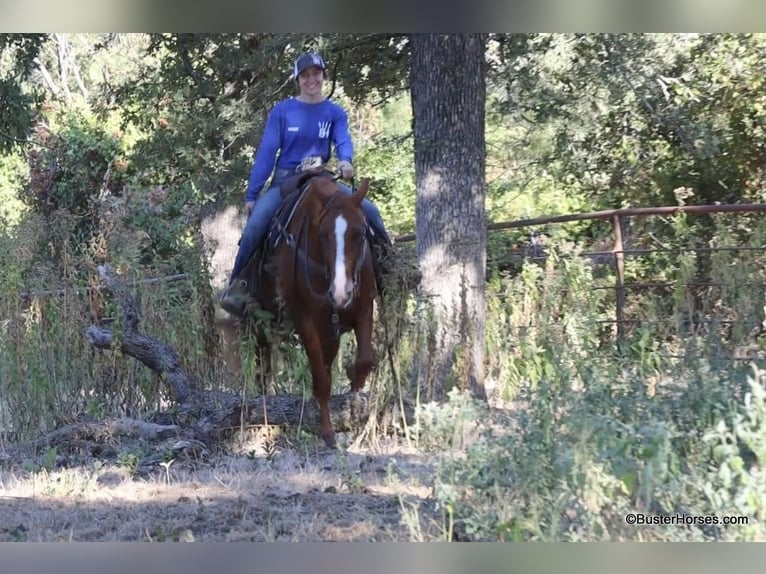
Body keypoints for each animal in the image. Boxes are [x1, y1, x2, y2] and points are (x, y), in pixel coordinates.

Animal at [243, 172, 378, 450]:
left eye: (360, 233)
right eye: (323, 235)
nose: (341, 292)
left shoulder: (364, 312)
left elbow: (363, 361)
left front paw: (354, 402)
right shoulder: (306, 323)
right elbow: (321, 380)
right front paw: (327, 433)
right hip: (260, 325)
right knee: (263, 373)